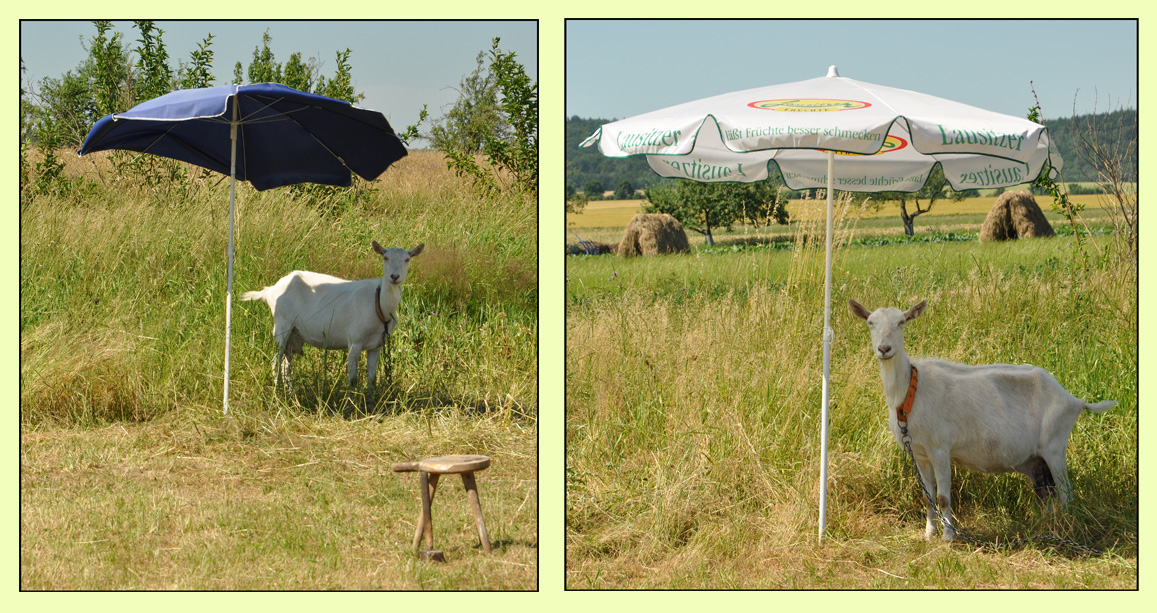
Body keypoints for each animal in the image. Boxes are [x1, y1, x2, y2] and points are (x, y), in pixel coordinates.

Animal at [241, 239, 423, 390]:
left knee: (286, 365)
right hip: (282, 324)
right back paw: (276, 394)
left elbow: (371, 379)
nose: (394, 276)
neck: (379, 305)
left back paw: (290, 394)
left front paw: (369, 404)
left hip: (294, 333)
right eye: (385, 257)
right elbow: (353, 379)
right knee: (275, 362)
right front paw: (351, 406)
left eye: (407, 259)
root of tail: (270, 290)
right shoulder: (354, 341)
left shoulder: (376, 345)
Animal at [851, 296, 1110, 538]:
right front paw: (928, 534)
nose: (884, 349)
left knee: (1066, 492)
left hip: (1055, 446)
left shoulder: (940, 449)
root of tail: (1074, 400)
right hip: (1038, 459)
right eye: (870, 323)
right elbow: (928, 498)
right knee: (1046, 490)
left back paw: (1066, 528)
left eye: (902, 322)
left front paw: (948, 537)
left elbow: (943, 498)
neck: (910, 392)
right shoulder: (920, 454)